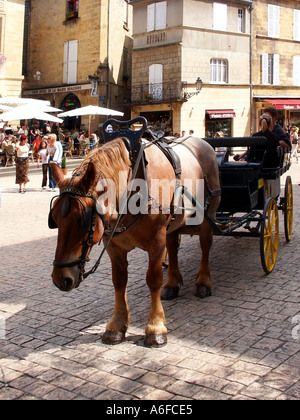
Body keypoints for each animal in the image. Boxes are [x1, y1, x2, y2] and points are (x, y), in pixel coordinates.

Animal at [49, 136, 220, 346]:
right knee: (173, 247)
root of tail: (201, 142)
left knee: (205, 246)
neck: (132, 188)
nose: (61, 278)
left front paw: (155, 327)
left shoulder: (156, 240)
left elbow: (153, 279)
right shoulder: (115, 246)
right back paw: (172, 283)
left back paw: (203, 281)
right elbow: (119, 281)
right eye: (54, 219)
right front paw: (117, 324)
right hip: (173, 223)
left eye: (83, 219)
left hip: (208, 214)